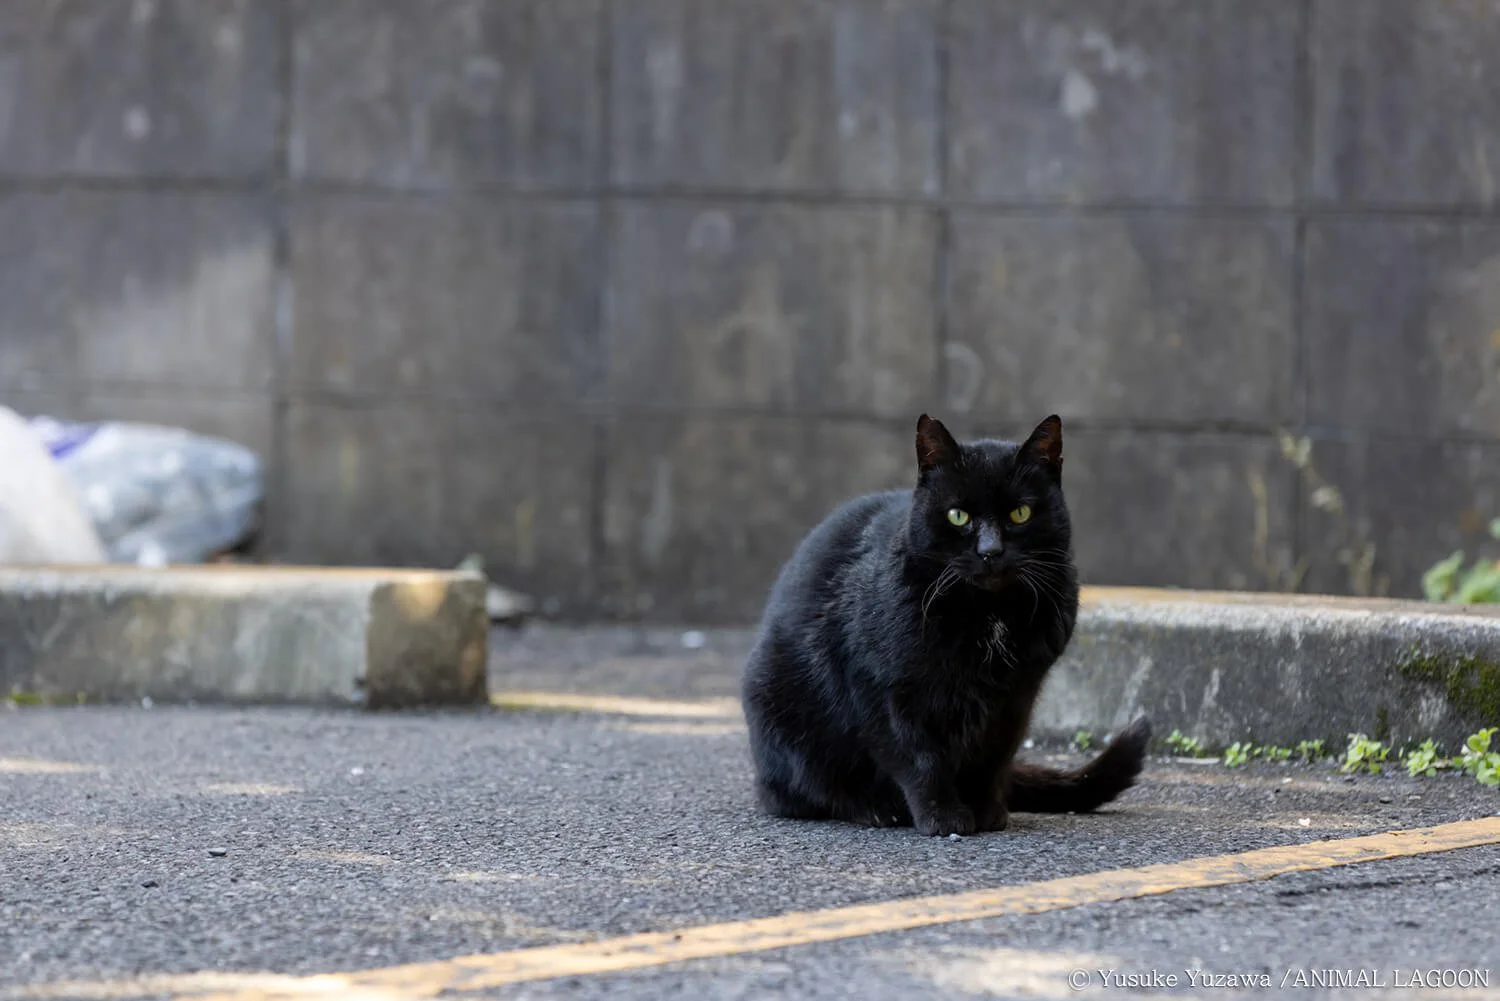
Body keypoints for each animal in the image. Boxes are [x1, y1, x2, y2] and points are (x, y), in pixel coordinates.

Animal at [738, 414, 1146, 840]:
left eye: (1020, 514)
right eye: (958, 516)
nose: (990, 551)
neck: (989, 615)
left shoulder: (1016, 697)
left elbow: (994, 758)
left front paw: (987, 812)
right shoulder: (884, 690)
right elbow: (919, 758)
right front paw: (943, 817)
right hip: (777, 706)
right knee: (797, 791)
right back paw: (873, 807)